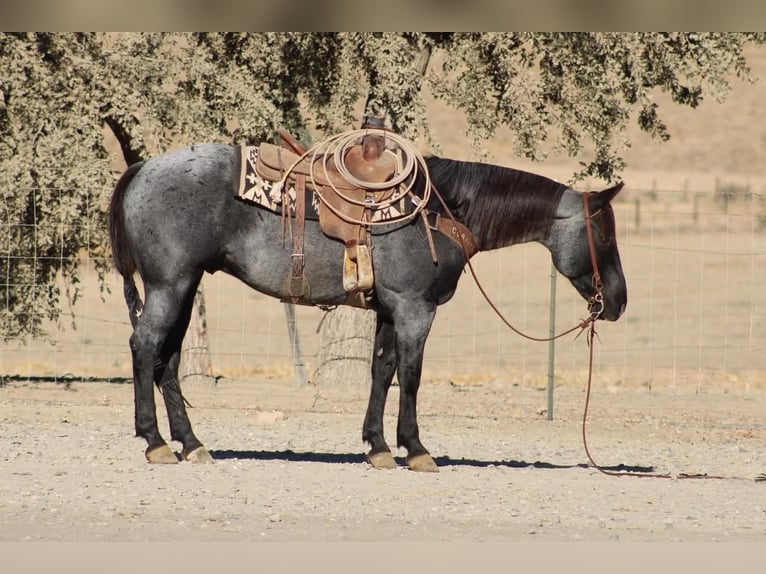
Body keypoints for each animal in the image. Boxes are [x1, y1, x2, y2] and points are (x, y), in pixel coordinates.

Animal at [109, 142, 627, 471]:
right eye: (604, 233)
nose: (618, 300)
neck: (440, 209)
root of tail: (142, 169)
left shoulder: (389, 310)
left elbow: (382, 371)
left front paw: (377, 447)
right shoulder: (416, 308)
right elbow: (411, 375)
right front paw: (415, 449)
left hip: (184, 284)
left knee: (169, 357)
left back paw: (192, 443)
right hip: (170, 284)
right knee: (145, 346)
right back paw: (155, 441)